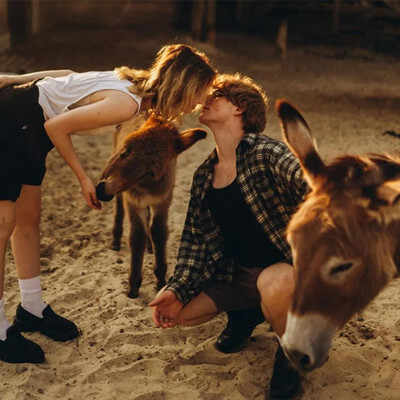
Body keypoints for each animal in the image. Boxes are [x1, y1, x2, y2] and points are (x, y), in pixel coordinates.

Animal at [96, 113, 207, 298]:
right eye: (126, 151)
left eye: (150, 172)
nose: (101, 190)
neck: (145, 186)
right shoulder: (133, 201)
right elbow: (137, 236)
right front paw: (133, 287)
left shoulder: (163, 200)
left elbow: (159, 232)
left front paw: (160, 279)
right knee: (119, 208)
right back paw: (116, 240)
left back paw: (150, 247)